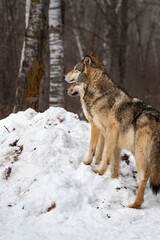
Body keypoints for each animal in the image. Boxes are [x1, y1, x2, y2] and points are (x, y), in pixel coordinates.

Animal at [64, 53, 160, 209]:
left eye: (75, 69)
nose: (64, 78)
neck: (100, 95)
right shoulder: (113, 140)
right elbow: (113, 163)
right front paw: (113, 179)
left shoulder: (106, 131)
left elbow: (100, 152)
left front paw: (95, 169)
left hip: (139, 154)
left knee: (144, 176)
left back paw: (136, 203)